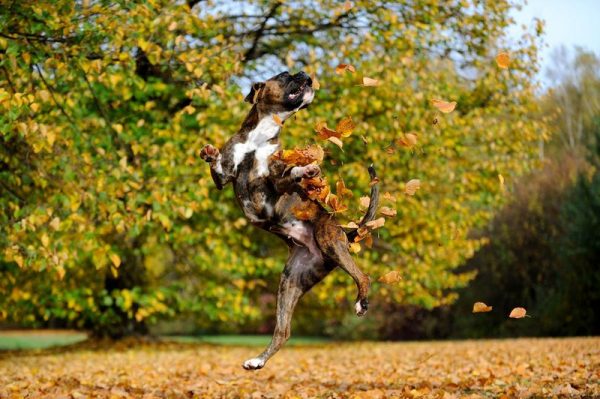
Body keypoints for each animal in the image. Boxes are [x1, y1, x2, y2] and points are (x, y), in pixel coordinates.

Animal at [200, 70, 380, 370]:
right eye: (284, 75)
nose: (306, 75)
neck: (259, 138)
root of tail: (343, 233)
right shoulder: (225, 177)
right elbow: (218, 168)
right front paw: (210, 153)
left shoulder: (275, 181)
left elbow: (289, 173)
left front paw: (306, 169)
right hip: (290, 282)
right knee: (283, 331)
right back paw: (257, 361)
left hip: (329, 242)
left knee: (363, 276)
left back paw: (361, 303)